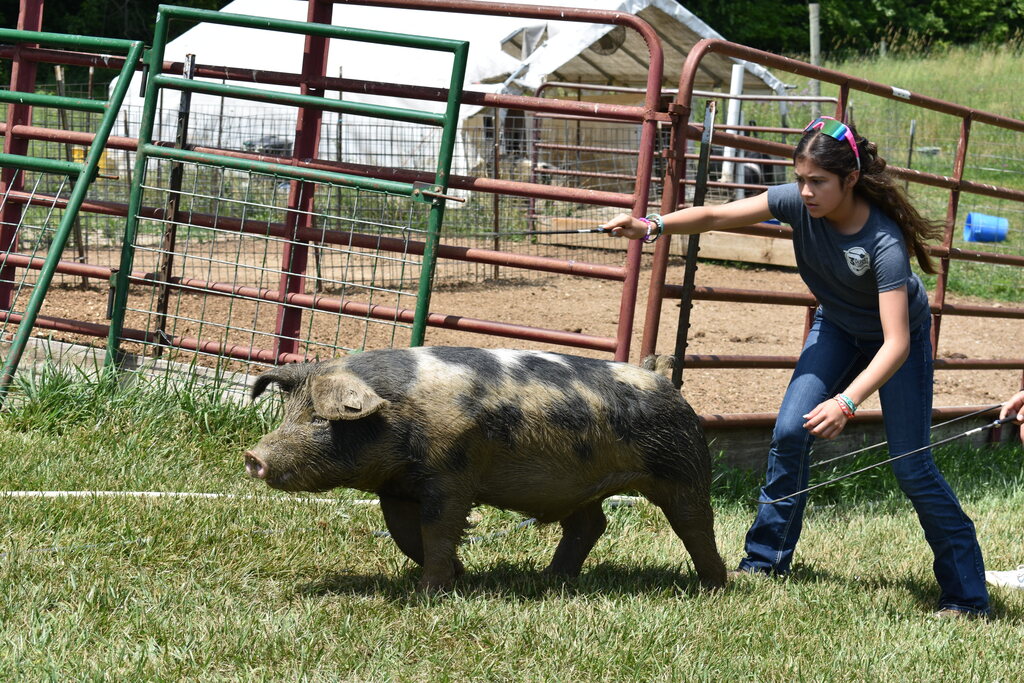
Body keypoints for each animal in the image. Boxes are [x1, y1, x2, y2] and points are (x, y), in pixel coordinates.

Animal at [244, 346, 726, 591]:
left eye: (320, 419)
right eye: (288, 413)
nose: (254, 457)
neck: (400, 413)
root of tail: (663, 379)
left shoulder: (451, 473)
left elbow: (437, 529)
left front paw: (430, 591)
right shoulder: (396, 486)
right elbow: (404, 534)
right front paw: (457, 575)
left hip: (683, 467)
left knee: (695, 524)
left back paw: (712, 586)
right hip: (578, 486)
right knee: (591, 523)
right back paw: (550, 578)